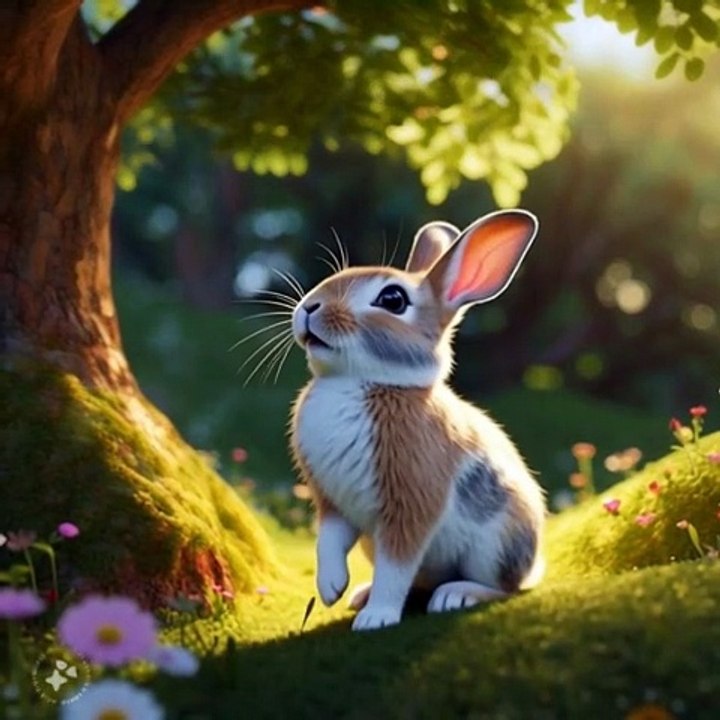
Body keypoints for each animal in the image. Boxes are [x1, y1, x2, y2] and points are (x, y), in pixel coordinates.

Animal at [289, 209, 546, 631]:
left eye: (392, 299)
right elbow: (329, 541)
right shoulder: (333, 501)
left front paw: (376, 619)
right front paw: (331, 588)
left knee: (504, 587)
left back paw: (456, 595)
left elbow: (396, 568)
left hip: (496, 546)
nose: (310, 307)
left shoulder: (410, 505)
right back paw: (361, 594)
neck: (359, 381)